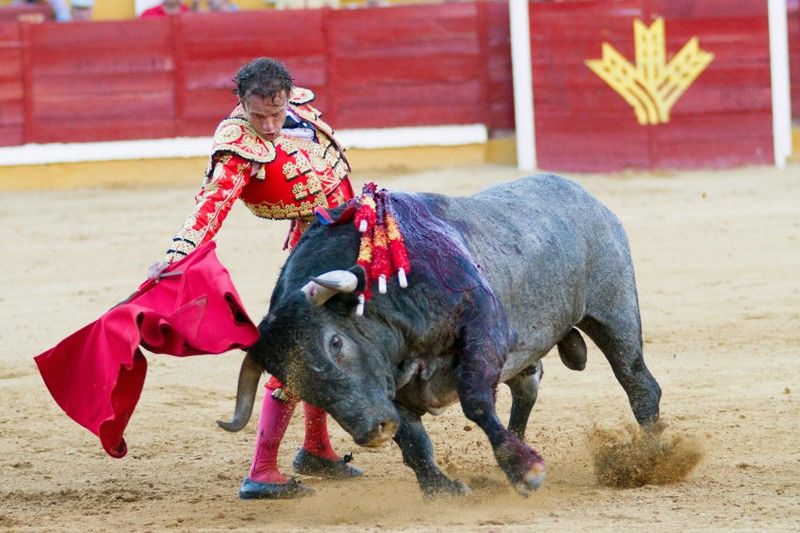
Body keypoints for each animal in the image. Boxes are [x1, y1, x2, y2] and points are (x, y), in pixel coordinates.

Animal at [220, 174, 664, 494]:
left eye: (335, 342)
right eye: (293, 380)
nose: (372, 431)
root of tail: (587, 197)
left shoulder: (482, 326)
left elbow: (476, 402)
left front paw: (526, 471)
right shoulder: (390, 389)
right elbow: (413, 440)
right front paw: (441, 488)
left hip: (613, 311)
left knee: (637, 381)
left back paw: (651, 457)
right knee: (529, 384)